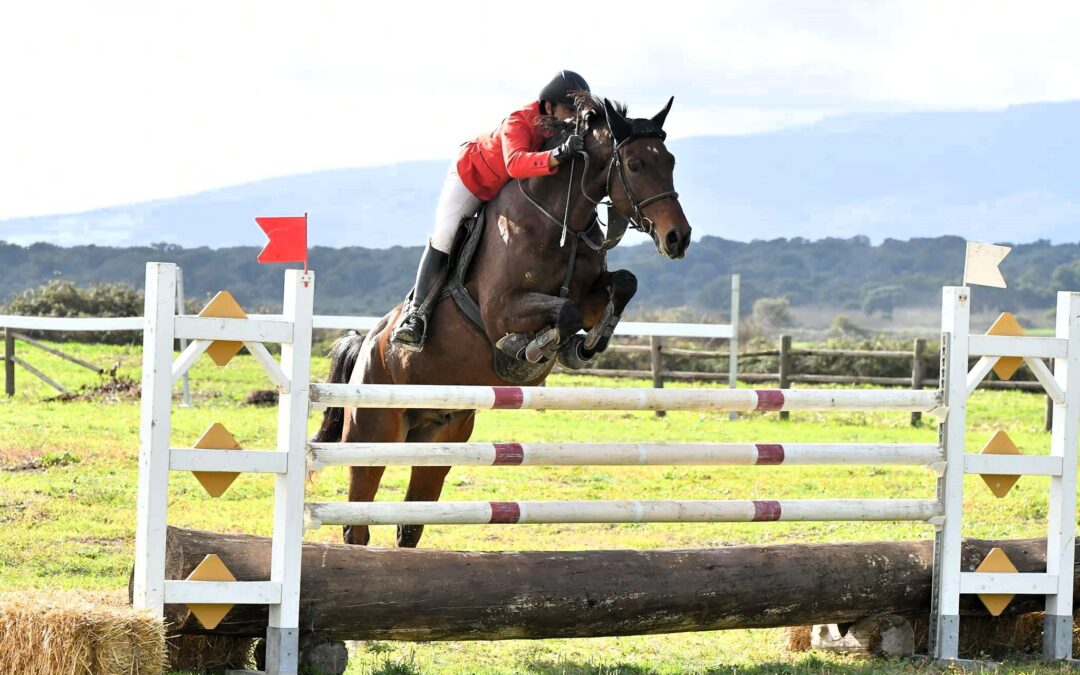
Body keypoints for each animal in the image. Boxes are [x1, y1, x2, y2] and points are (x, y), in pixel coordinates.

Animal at [313, 96, 691, 548]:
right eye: (634, 165)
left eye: (670, 161)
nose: (678, 237)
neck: (558, 219)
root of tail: (366, 344)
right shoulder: (500, 309)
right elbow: (561, 314)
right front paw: (532, 350)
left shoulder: (590, 294)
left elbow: (621, 286)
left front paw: (584, 346)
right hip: (372, 435)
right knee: (357, 524)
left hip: (442, 438)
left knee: (410, 525)